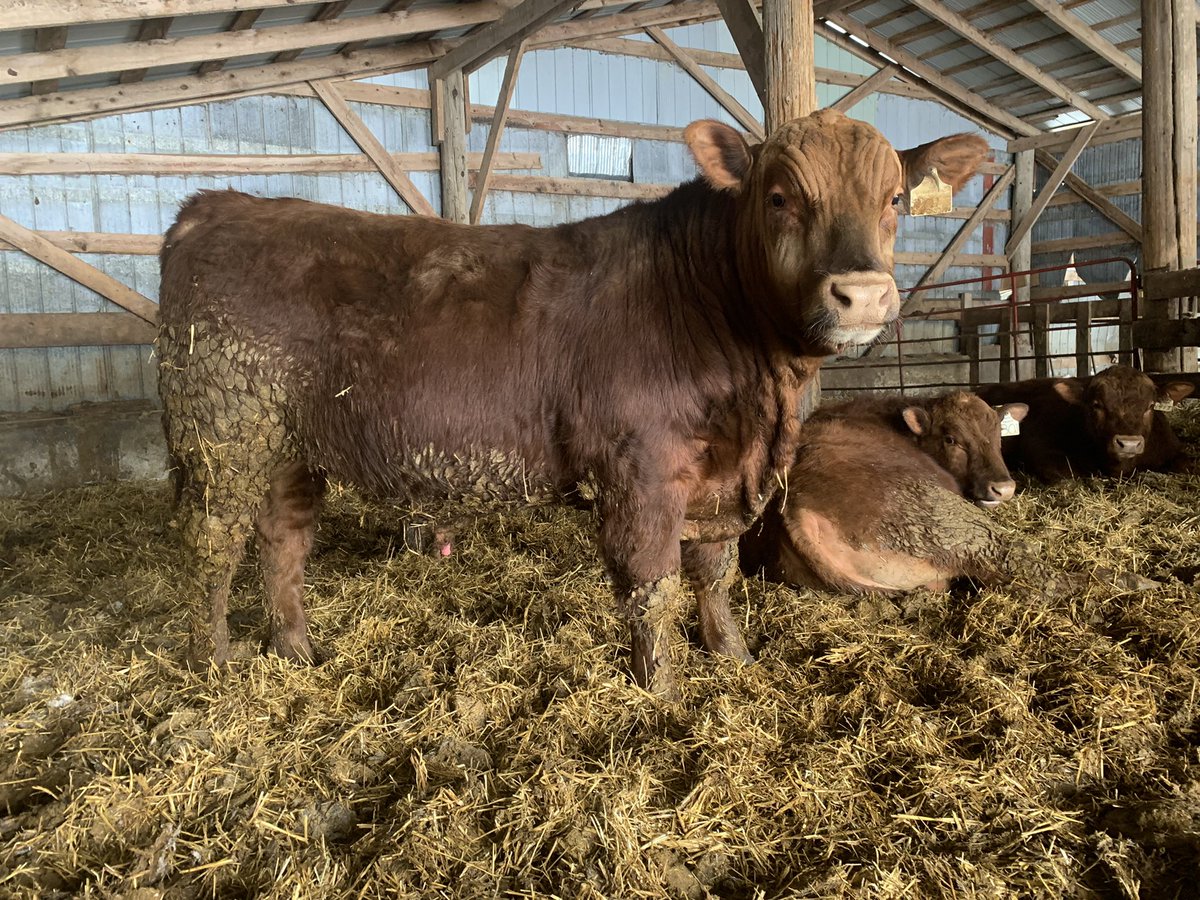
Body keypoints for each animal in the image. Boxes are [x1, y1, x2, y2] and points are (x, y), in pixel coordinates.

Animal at [156, 109, 988, 698]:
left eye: (894, 197)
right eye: (781, 196)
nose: (864, 294)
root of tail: (219, 203)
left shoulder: (721, 478)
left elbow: (713, 575)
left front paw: (735, 659)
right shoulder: (640, 472)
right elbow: (652, 588)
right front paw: (664, 694)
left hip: (287, 447)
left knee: (283, 543)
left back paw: (297, 652)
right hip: (223, 435)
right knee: (208, 547)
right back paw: (214, 665)